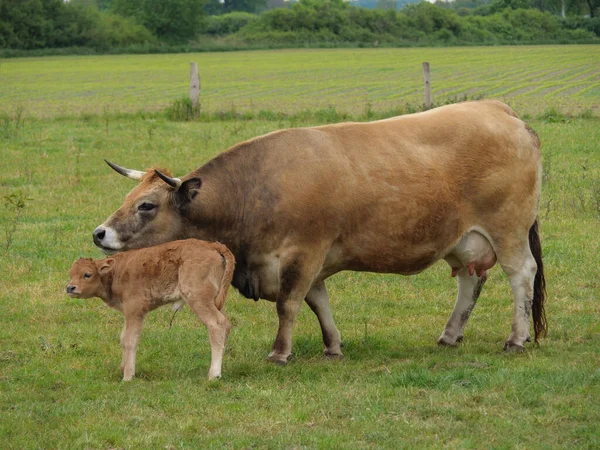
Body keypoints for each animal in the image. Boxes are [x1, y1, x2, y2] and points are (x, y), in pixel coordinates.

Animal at [65, 239, 234, 380]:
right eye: (71, 274)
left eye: (87, 274)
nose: (70, 288)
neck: (116, 271)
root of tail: (213, 245)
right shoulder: (128, 313)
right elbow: (123, 338)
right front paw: (122, 368)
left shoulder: (135, 310)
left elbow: (130, 340)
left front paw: (127, 376)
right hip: (214, 302)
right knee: (226, 324)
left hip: (198, 299)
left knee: (216, 324)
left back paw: (213, 374)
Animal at [91, 100, 548, 364]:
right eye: (131, 195)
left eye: (147, 206)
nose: (100, 233)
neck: (256, 188)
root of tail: (499, 110)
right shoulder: (310, 262)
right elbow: (319, 304)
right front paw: (333, 346)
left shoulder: (302, 252)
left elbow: (289, 305)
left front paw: (280, 352)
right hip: (463, 239)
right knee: (471, 281)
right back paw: (451, 334)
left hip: (508, 230)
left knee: (521, 275)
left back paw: (517, 338)